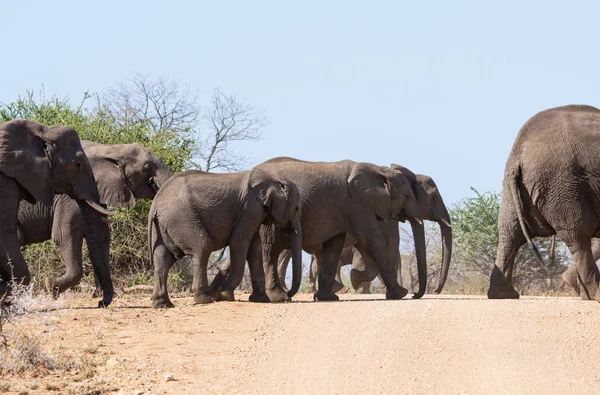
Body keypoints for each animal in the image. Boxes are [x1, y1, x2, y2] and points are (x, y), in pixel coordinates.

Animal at [0, 119, 115, 304]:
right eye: (78, 164)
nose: (100, 302)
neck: (43, 131)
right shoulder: (5, 181)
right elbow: (60, 235)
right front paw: (49, 286)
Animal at [15, 141, 173, 304]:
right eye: (147, 167)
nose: (101, 303)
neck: (111, 148)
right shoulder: (71, 195)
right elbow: (64, 235)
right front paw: (51, 286)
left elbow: (102, 237)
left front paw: (100, 295)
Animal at [148, 167, 302, 310]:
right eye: (296, 208)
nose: (288, 296)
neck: (273, 178)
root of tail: (155, 205)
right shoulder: (250, 208)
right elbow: (239, 243)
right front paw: (225, 295)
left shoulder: (253, 213)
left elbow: (255, 248)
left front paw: (261, 299)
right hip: (183, 219)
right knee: (202, 248)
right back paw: (206, 299)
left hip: (163, 226)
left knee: (162, 258)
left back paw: (163, 305)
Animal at [241, 156, 424, 302]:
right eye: (407, 195)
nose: (415, 294)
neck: (379, 170)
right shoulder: (357, 206)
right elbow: (373, 240)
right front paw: (401, 294)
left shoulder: (342, 211)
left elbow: (334, 245)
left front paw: (327, 298)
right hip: (271, 215)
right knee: (271, 250)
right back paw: (279, 297)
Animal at [488, 105, 600, 304]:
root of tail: (519, 153)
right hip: (562, 185)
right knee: (578, 236)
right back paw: (595, 294)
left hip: (516, 187)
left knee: (509, 232)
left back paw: (502, 295)